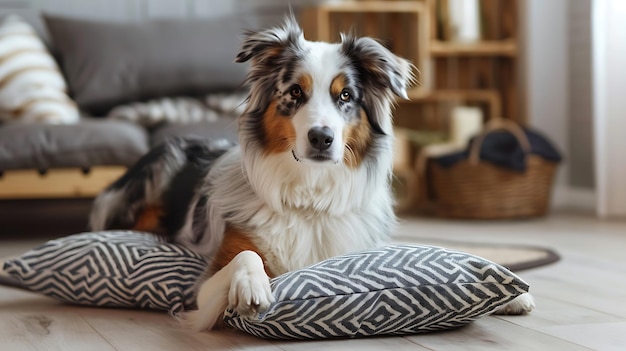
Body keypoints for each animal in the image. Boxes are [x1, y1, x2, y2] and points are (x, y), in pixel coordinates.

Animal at [86, 15, 532, 332]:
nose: (321, 137)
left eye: (346, 96)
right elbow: (246, 256)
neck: (311, 194)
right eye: (295, 93)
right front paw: (252, 286)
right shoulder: (205, 284)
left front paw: (511, 293)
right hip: (157, 168)